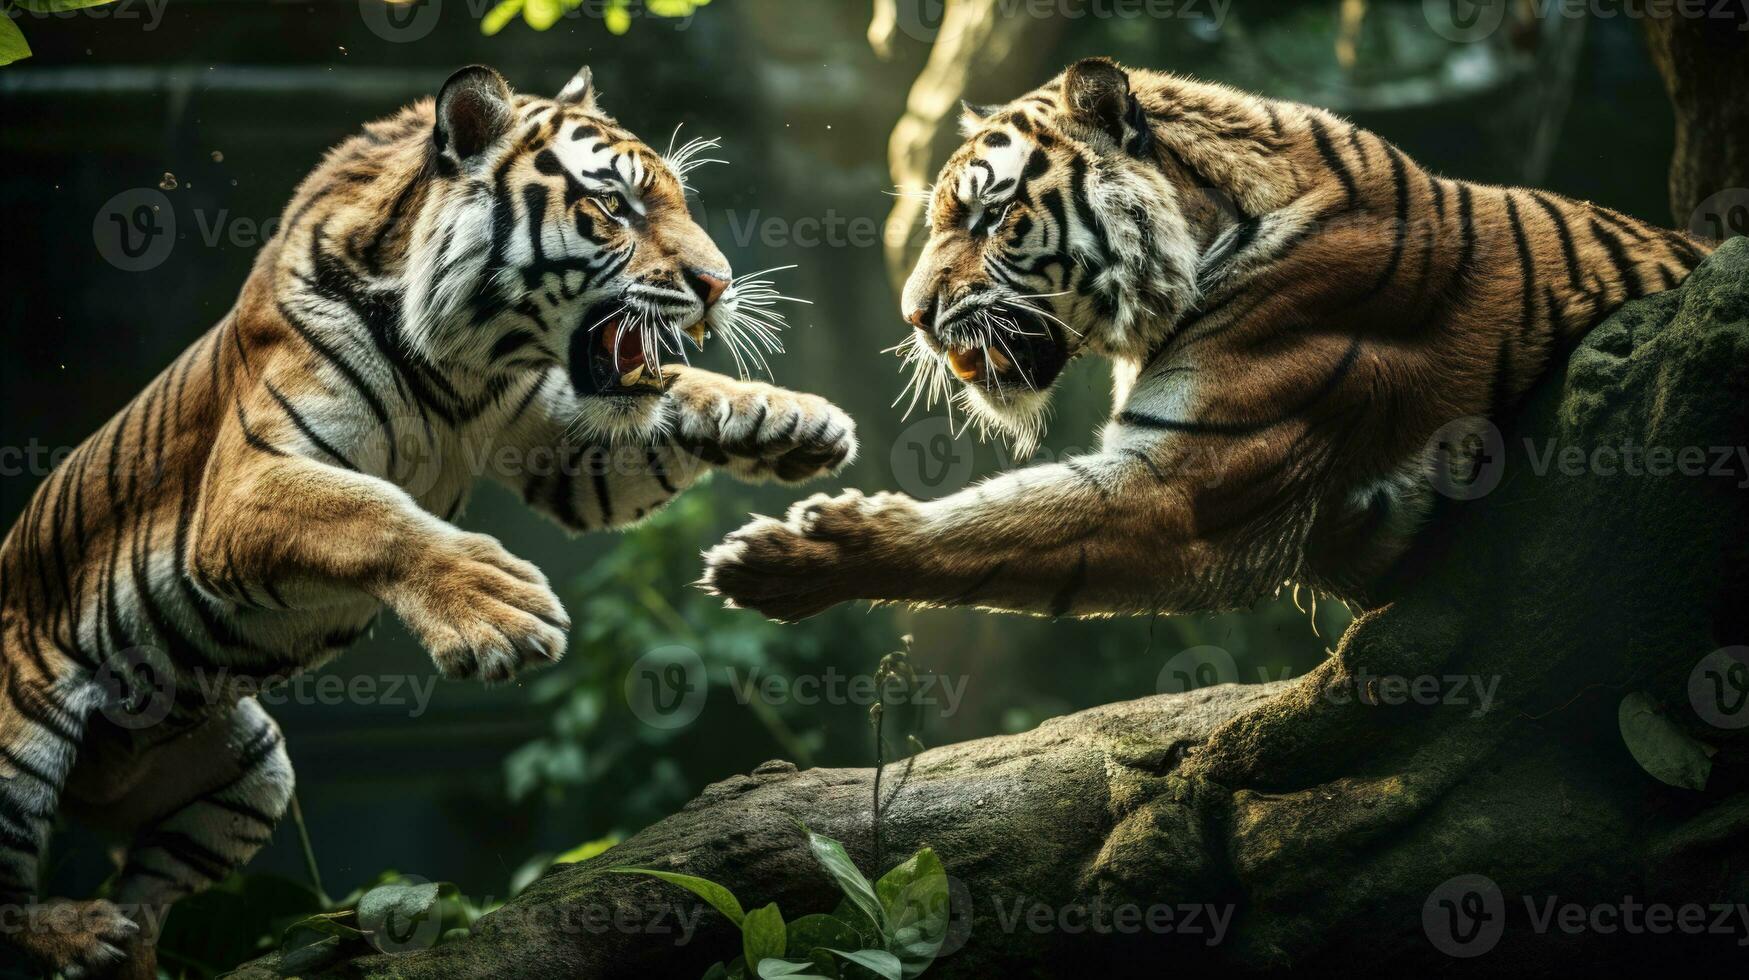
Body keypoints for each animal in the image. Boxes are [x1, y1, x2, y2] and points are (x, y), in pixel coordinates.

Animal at [0, 65, 853, 973]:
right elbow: (366, 511)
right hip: (20, 744)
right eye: (613, 206)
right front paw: (497, 610)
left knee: (146, 890)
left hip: (247, 775)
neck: (463, 363)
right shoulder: (245, 488)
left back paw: (121, 946)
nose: (719, 286)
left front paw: (793, 421)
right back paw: (75, 930)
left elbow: (674, 398)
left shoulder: (566, 452)